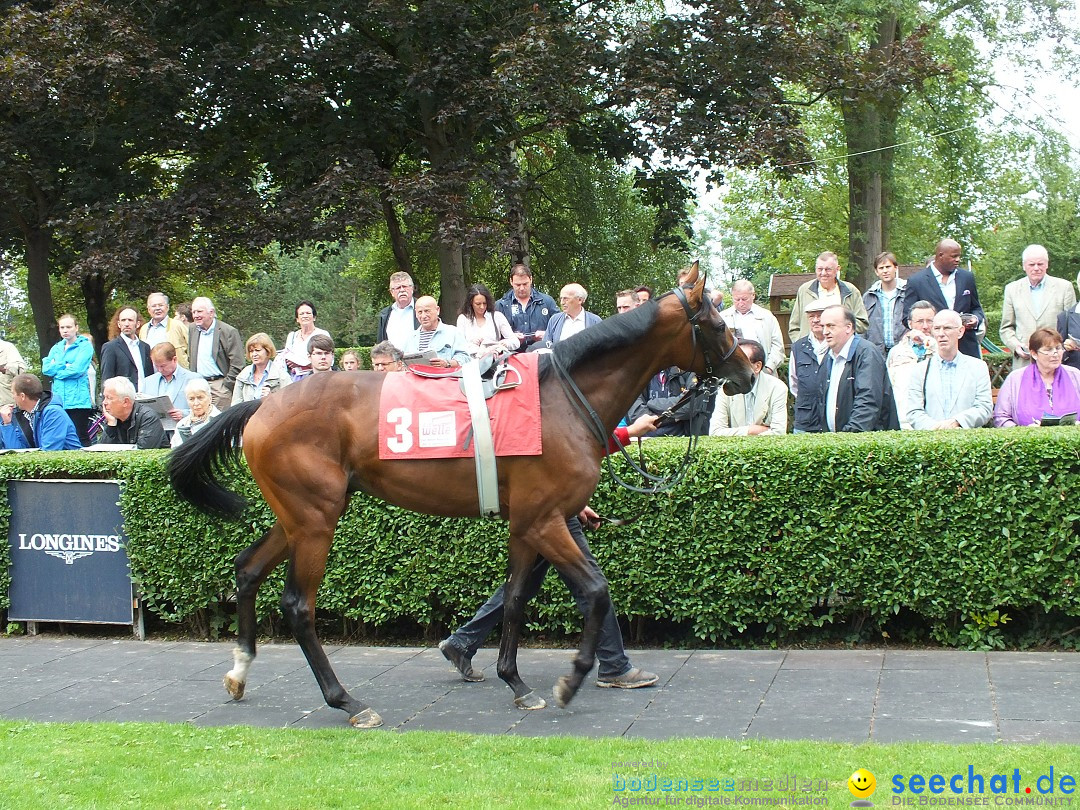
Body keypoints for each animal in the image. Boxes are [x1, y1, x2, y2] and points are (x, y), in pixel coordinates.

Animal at [170, 266, 751, 730]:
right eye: (718, 326)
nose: (746, 373)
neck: (562, 398)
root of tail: (261, 407)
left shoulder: (528, 523)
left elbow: (514, 598)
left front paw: (515, 682)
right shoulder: (545, 520)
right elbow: (595, 590)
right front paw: (570, 680)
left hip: (297, 515)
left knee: (247, 569)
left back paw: (240, 670)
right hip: (316, 519)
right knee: (298, 605)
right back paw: (348, 702)